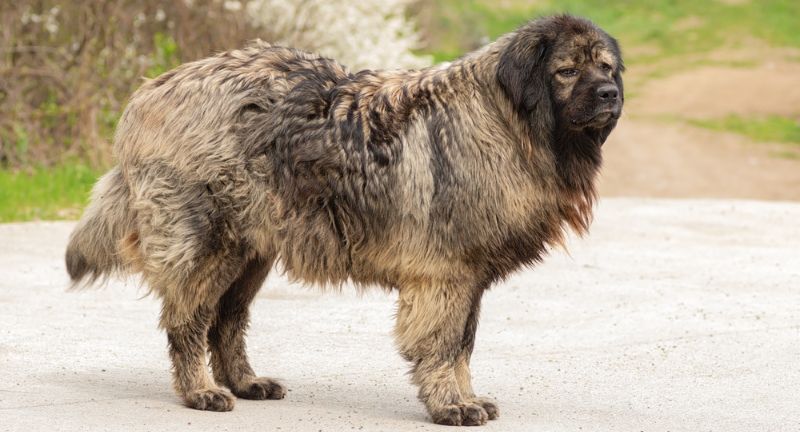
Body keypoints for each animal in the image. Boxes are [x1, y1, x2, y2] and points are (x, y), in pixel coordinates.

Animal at [65, 15, 620, 426]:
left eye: (607, 68)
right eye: (567, 71)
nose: (610, 94)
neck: (505, 121)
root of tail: (151, 90)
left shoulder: (469, 278)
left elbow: (464, 343)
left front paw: (465, 396)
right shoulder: (445, 274)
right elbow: (443, 344)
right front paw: (450, 403)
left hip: (251, 252)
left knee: (227, 321)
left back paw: (244, 382)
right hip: (206, 244)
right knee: (188, 320)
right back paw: (199, 391)